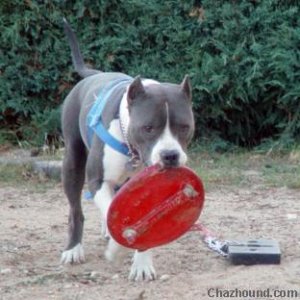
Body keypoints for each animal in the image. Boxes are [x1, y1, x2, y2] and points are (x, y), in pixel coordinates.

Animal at [61, 19, 196, 280]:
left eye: (184, 127)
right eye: (148, 127)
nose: (170, 155)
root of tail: (94, 75)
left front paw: (142, 265)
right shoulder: (98, 180)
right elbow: (109, 211)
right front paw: (118, 247)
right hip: (72, 160)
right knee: (75, 209)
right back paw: (73, 249)